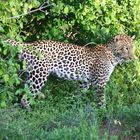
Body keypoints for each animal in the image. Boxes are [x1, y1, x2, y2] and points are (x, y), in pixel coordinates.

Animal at [3, 34, 134, 109]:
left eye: (133, 48)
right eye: (126, 48)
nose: (132, 57)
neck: (113, 56)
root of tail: (29, 45)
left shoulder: (85, 82)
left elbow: (78, 96)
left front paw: (74, 108)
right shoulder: (100, 83)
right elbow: (102, 100)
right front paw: (103, 113)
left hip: (29, 74)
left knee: (22, 91)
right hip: (39, 76)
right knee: (26, 96)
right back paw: (30, 113)